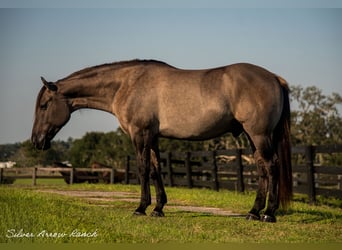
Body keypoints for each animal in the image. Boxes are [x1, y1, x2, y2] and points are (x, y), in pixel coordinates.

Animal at [31, 59, 292, 223]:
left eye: (44, 105)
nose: (36, 140)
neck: (126, 84)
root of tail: (274, 78)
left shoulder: (140, 134)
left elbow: (143, 169)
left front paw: (140, 208)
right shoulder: (152, 137)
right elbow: (156, 170)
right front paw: (158, 208)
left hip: (259, 134)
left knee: (271, 166)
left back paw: (268, 214)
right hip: (252, 136)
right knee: (262, 168)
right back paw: (254, 212)